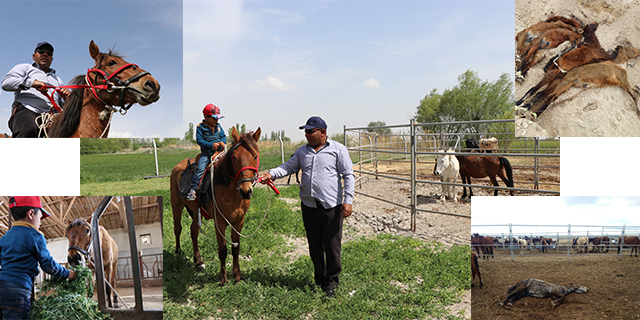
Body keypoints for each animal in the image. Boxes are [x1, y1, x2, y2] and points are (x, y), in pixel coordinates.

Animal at [171, 127, 262, 284]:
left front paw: (237, 276)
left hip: (197, 212)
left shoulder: (239, 222)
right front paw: (223, 278)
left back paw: (199, 261)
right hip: (176, 204)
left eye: (255, 157)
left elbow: (236, 249)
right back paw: (178, 252)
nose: (246, 191)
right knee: (178, 228)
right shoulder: (220, 223)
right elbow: (222, 250)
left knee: (193, 231)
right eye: (234, 157)